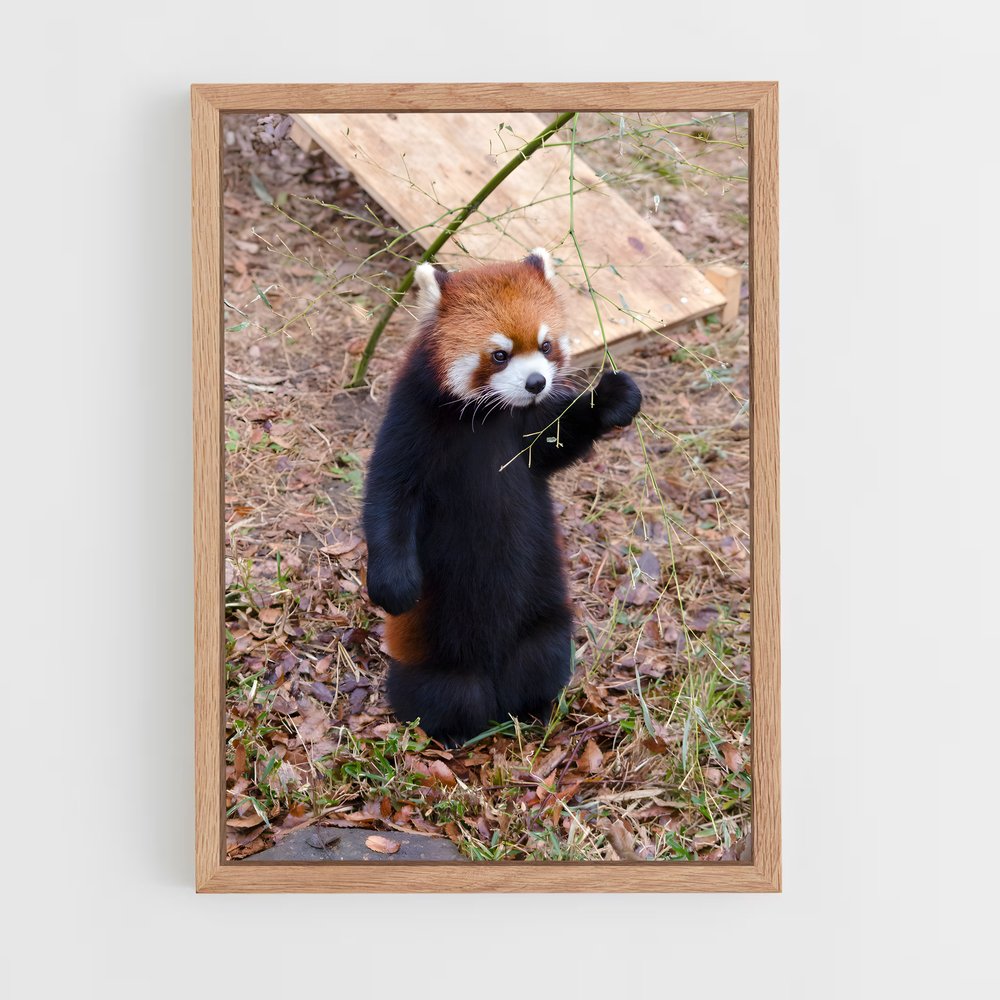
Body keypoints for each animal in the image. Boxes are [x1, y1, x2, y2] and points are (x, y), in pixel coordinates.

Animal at [362, 248, 642, 745]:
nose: (535, 383)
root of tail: (494, 681)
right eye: (499, 354)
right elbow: (389, 495)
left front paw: (610, 397)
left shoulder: (530, 432)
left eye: (546, 346)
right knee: (444, 693)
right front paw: (394, 585)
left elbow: (560, 441)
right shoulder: (412, 420)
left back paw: (536, 708)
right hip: (436, 657)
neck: (491, 416)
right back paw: (451, 733)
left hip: (544, 626)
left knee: (542, 658)